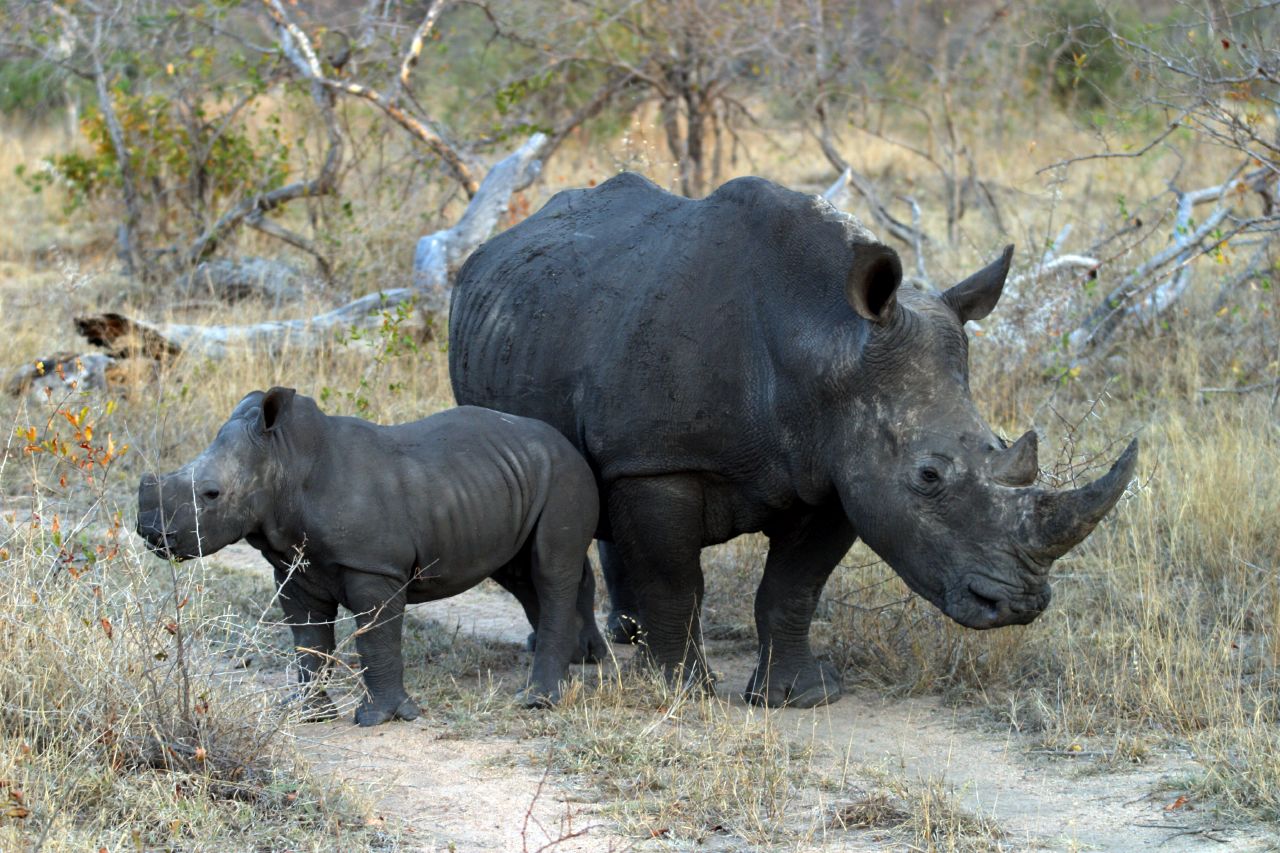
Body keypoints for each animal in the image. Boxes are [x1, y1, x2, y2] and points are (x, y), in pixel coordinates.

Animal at [136, 389, 605, 725]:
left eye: (211, 494)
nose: (152, 533)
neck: (285, 461)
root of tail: (564, 441)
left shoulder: (372, 566)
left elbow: (376, 637)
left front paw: (380, 718)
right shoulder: (293, 567)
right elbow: (308, 640)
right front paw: (306, 714)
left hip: (566, 474)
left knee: (549, 570)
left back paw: (538, 700)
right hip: (511, 479)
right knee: (522, 575)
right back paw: (576, 666)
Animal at [449, 172, 1137, 708]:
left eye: (1000, 445)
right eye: (928, 476)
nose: (1019, 604)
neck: (828, 341)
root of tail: (491, 249)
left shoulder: (837, 471)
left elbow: (793, 586)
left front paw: (798, 698)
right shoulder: (660, 462)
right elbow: (676, 580)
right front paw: (681, 694)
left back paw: (626, 639)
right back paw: (587, 656)